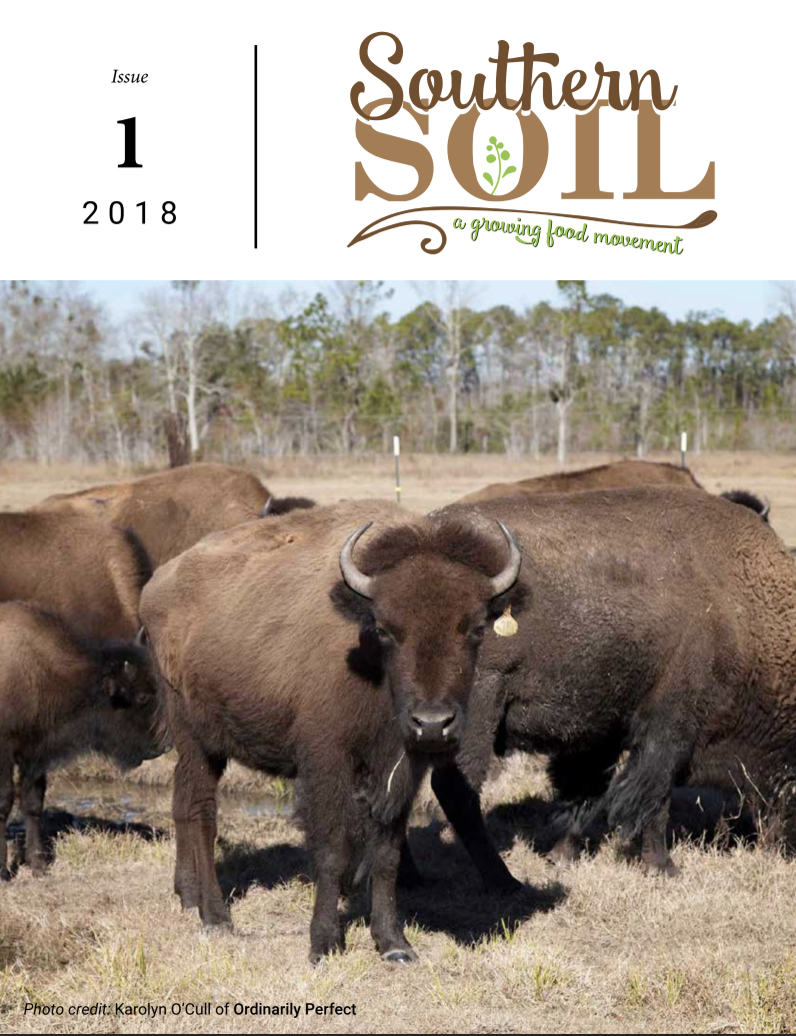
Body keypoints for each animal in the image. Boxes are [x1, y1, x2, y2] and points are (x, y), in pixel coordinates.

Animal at [0, 602, 158, 878]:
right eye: (141, 697)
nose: (165, 741)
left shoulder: (36, 752)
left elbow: (32, 802)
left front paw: (39, 865)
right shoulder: (5, 751)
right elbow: (4, 801)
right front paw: (2, 872)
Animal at [139, 500, 522, 963]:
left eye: (476, 628)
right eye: (385, 629)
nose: (432, 723)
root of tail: (155, 586)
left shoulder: (400, 772)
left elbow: (387, 853)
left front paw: (394, 944)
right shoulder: (327, 763)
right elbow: (332, 850)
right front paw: (323, 943)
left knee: (181, 804)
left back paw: (188, 896)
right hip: (197, 739)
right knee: (201, 814)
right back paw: (216, 917)